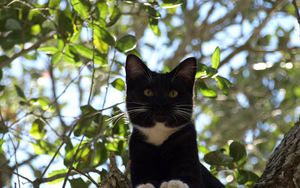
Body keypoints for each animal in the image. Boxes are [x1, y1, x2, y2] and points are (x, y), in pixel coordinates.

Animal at [124, 53, 223, 188]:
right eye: (148, 92)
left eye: (173, 93)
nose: (161, 104)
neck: (159, 135)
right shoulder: (137, 148)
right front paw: (146, 185)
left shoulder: (187, 141)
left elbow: (190, 178)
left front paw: (176, 183)